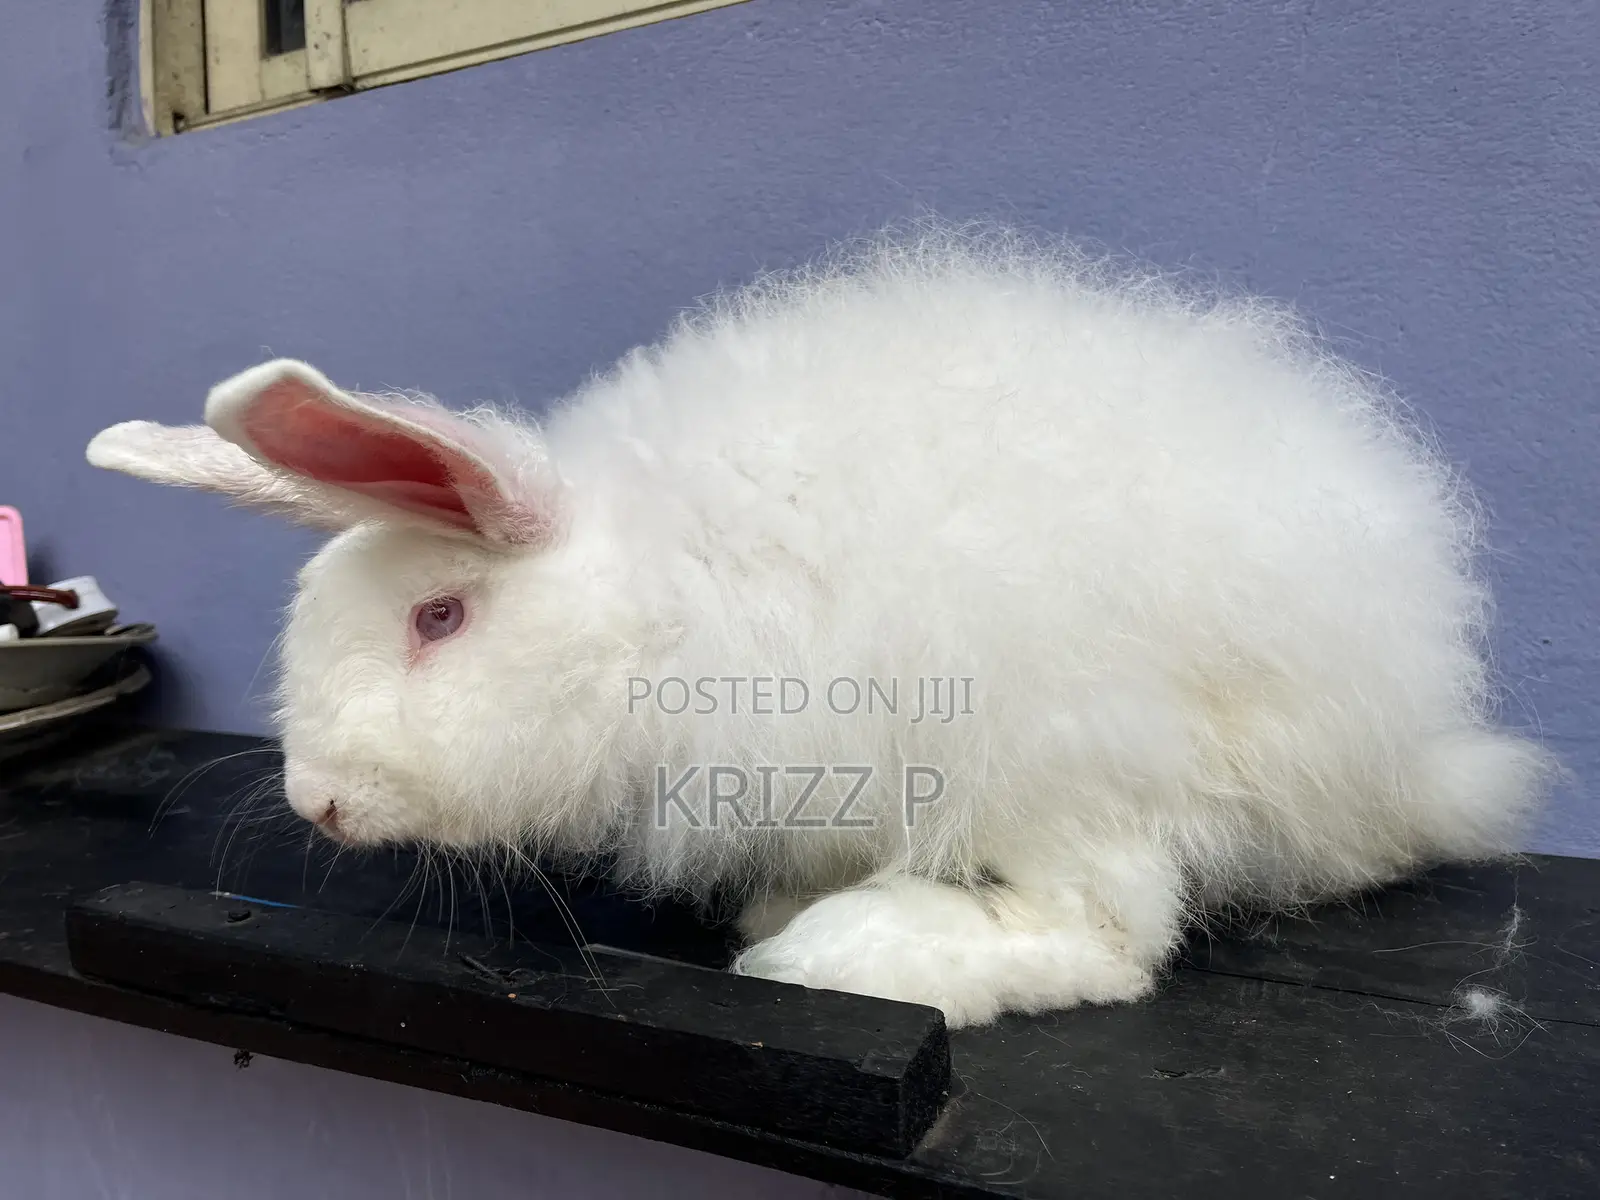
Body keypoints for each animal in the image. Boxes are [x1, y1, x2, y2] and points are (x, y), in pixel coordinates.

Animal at [85, 225, 1553, 1027]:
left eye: (440, 617)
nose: (319, 804)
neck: (667, 599)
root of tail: (1406, 745)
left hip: (1071, 746)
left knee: (1108, 935)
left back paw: (845, 950)